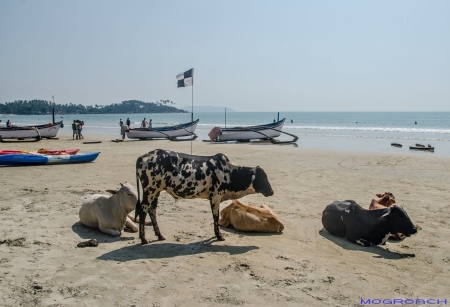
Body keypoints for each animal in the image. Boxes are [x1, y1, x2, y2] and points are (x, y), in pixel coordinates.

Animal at [135, 149, 272, 245]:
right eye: (263, 177)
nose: (271, 191)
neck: (228, 172)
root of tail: (143, 157)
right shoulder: (215, 197)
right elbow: (215, 217)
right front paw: (219, 236)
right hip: (149, 190)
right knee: (143, 210)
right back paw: (144, 239)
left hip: (156, 192)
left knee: (152, 210)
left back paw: (159, 235)